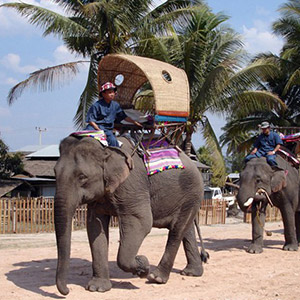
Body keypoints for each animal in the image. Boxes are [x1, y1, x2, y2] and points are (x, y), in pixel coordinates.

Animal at [52, 135, 205, 296]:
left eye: (82, 176)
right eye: (54, 173)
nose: (67, 291)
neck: (106, 149)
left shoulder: (132, 185)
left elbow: (142, 221)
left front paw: (143, 264)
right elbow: (94, 226)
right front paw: (97, 289)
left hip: (193, 192)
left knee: (177, 230)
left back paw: (156, 277)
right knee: (185, 229)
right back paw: (191, 273)